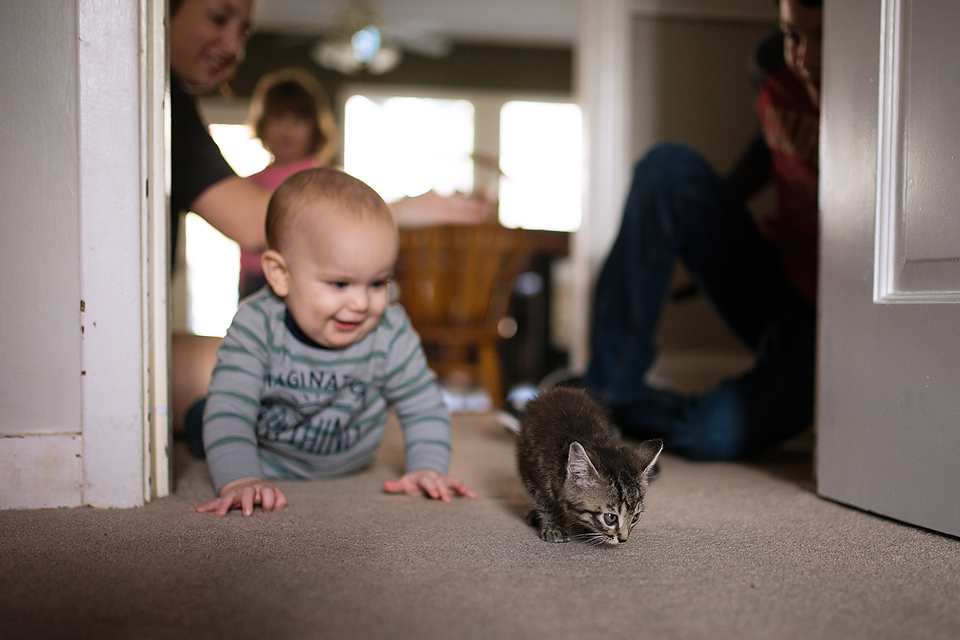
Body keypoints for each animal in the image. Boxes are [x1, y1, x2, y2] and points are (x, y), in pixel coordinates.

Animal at [516, 384, 660, 544]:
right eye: (610, 518)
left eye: (635, 517)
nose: (623, 539)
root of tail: (563, 388)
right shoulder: (533, 476)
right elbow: (546, 504)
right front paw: (555, 526)